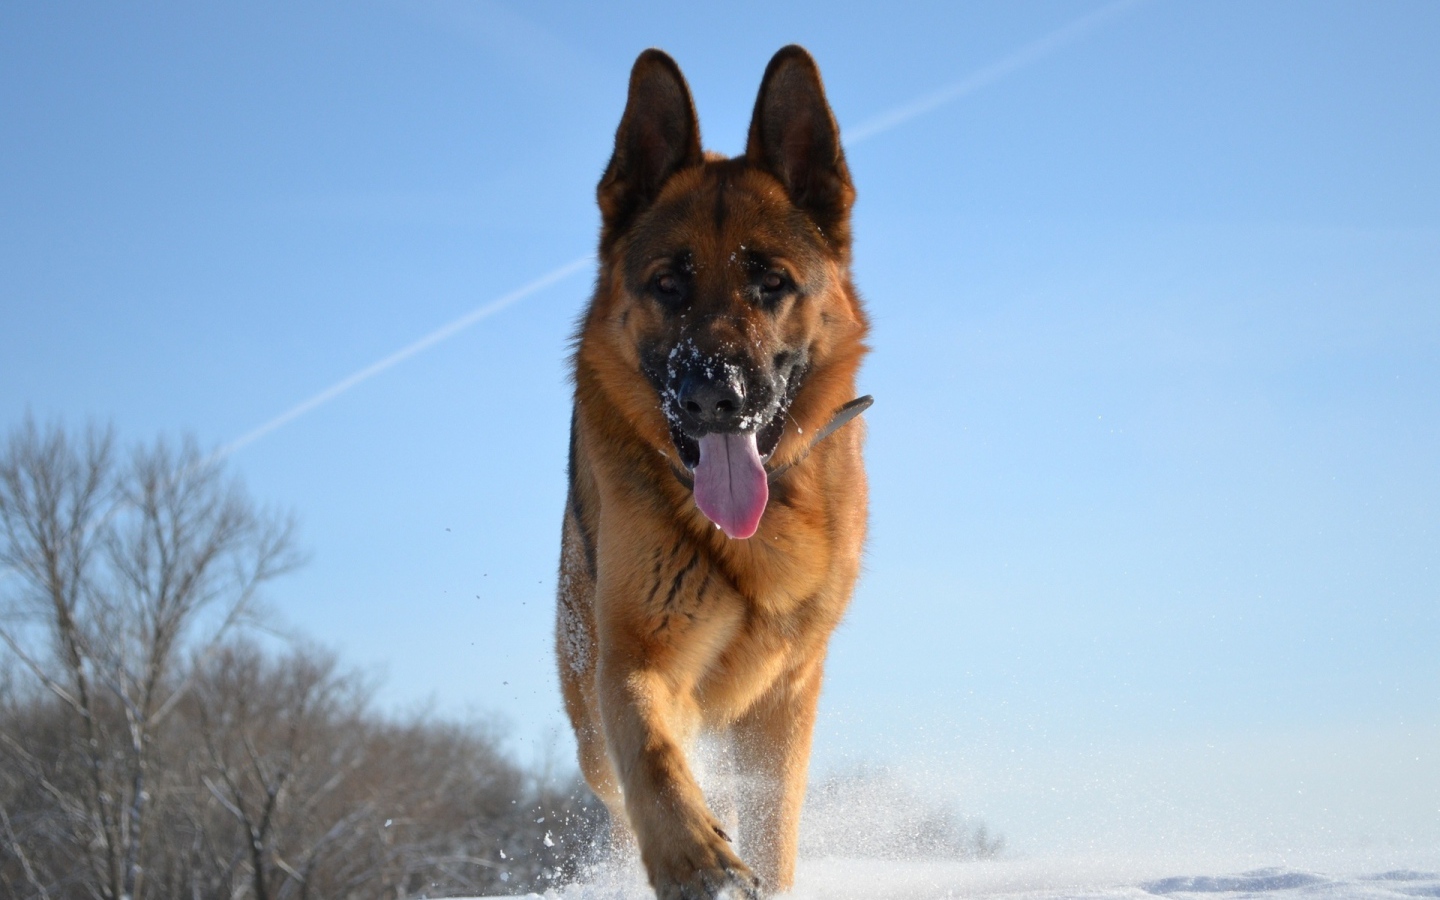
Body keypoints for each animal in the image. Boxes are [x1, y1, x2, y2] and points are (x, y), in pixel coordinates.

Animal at [552, 48, 864, 898]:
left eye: (772, 284)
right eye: (668, 284)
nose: (711, 396)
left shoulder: (787, 695)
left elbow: (776, 826)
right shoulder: (637, 659)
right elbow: (655, 759)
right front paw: (699, 861)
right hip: (589, 718)